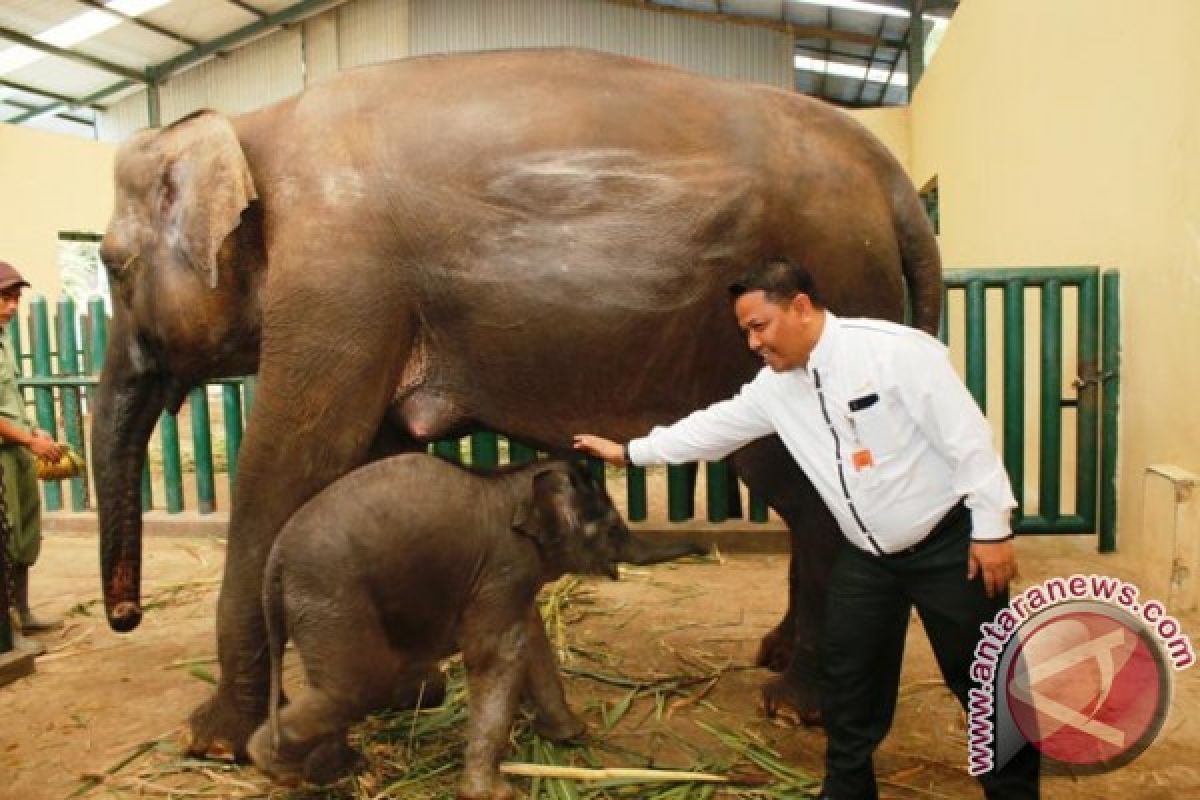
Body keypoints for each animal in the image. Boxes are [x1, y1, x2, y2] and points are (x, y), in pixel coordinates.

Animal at [247, 453, 705, 796]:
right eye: (610, 529)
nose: (704, 548)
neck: (513, 482)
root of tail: (274, 560)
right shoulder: (503, 566)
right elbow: (498, 654)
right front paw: (496, 794)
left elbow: (532, 637)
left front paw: (573, 735)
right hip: (332, 598)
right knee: (359, 685)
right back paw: (273, 764)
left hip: (319, 608)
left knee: (335, 687)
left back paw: (333, 769)